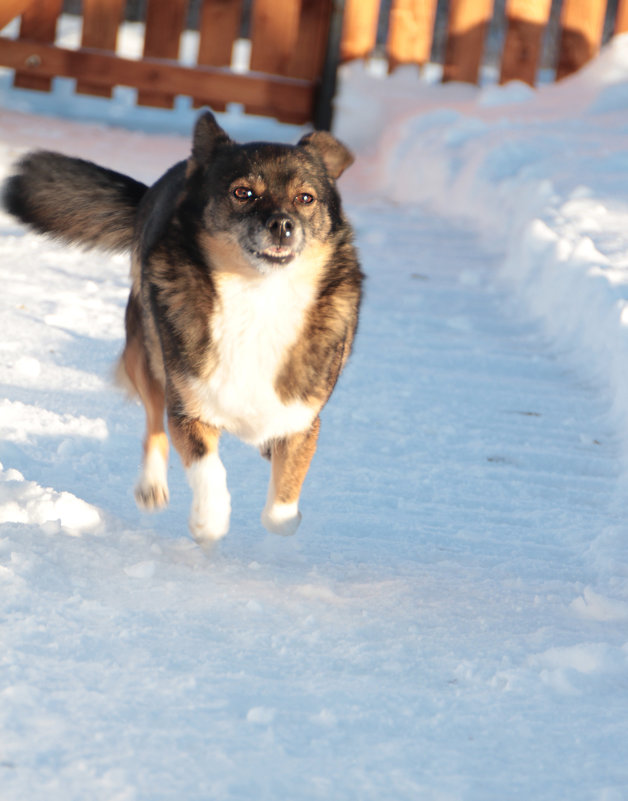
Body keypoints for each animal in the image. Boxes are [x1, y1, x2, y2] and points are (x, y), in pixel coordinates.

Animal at [2, 109, 364, 540]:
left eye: (305, 198)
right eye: (243, 193)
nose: (282, 225)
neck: (258, 295)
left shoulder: (302, 419)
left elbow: (281, 511)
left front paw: (280, 501)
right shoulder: (189, 409)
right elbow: (207, 467)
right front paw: (209, 518)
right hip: (146, 356)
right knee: (153, 423)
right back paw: (151, 485)